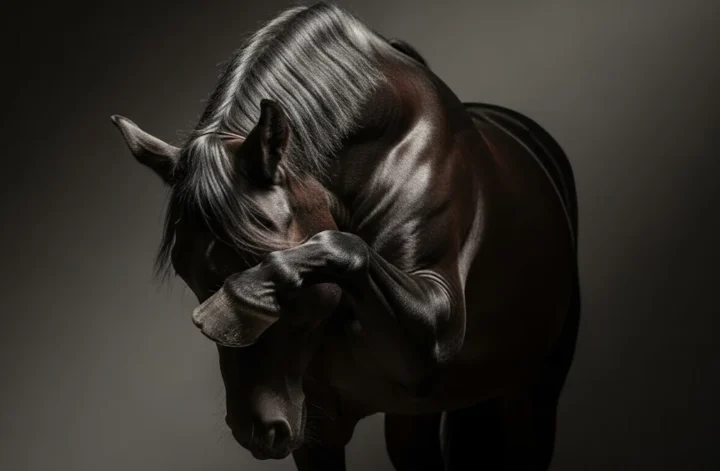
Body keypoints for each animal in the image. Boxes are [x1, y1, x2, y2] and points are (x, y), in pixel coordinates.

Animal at [111, 3, 580, 470]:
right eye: (186, 274)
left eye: (255, 259)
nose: (256, 430)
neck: (387, 151)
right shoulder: (317, 433)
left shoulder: (439, 324)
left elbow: (341, 245)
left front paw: (233, 306)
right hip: (412, 419)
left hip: (531, 395)